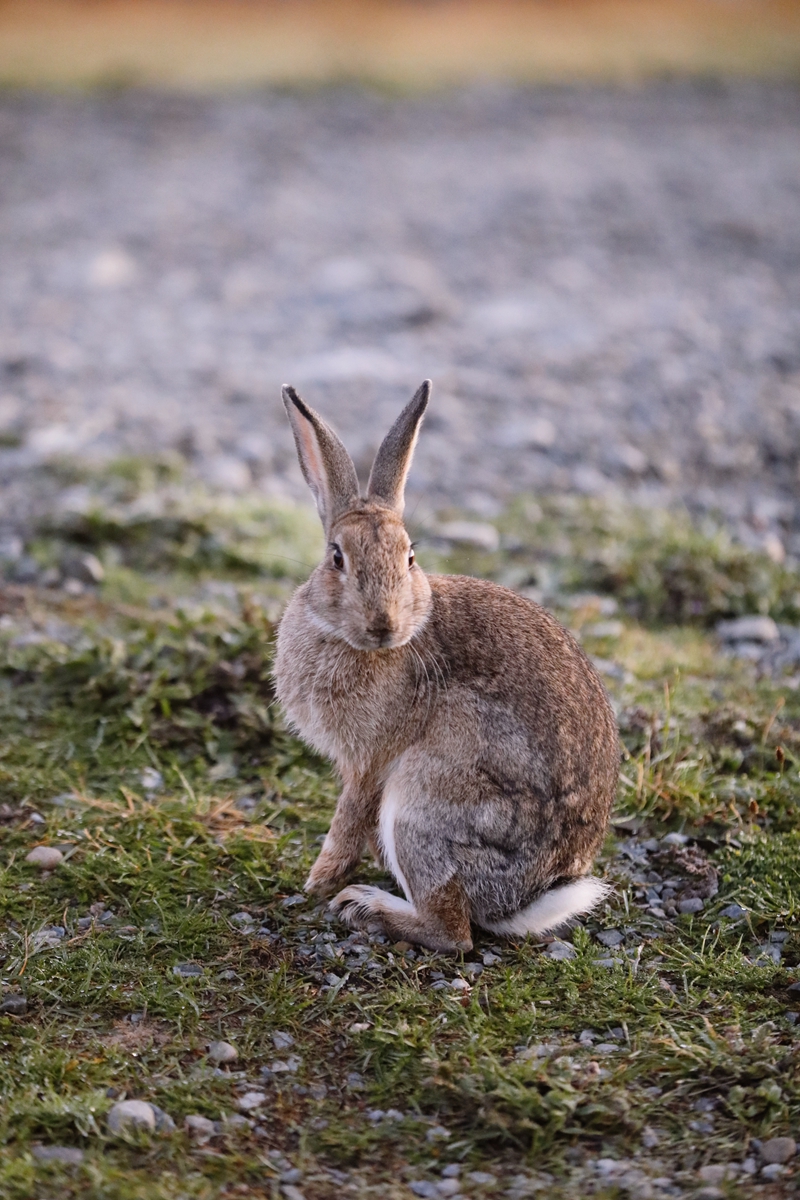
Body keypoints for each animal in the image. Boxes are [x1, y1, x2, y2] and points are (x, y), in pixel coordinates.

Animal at [275, 379, 618, 950]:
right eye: (336, 558)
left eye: (410, 557)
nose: (384, 623)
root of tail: (522, 900)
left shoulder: (369, 763)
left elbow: (349, 818)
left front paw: (318, 882)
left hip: (424, 805)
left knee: (454, 932)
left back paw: (366, 907)